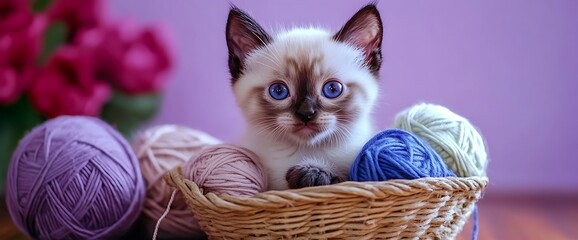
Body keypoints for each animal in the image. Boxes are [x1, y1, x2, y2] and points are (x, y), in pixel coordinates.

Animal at [226, 3, 382, 189]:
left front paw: (314, 173)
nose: (306, 113)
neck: (304, 152)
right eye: (278, 91)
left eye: (332, 89)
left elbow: (345, 177)